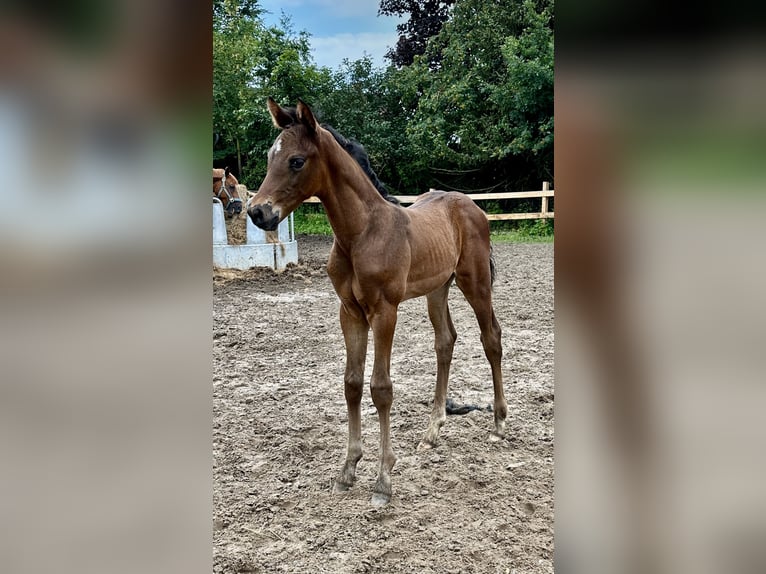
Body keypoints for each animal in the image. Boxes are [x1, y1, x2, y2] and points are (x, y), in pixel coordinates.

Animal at [248, 99, 510, 508]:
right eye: (269, 156)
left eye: (296, 160)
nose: (257, 212)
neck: (361, 233)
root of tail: (472, 206)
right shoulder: (350, 312)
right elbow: (352, 383)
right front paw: (348, 469)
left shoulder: (385, 310)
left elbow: (381, 388)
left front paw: (383, 479)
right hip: (437, 289)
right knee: (445, 342)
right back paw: (432, 432)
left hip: (476, 283)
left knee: (491, 338)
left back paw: (498, 424)